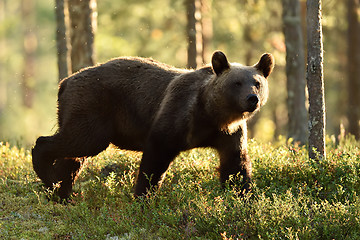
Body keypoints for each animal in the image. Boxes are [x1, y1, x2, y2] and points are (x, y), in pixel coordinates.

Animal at [31, 50, 272, 199]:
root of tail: (64, 82)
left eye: (257, 83)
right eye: (237, 82)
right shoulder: (176, 116)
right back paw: (48, 176)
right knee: (78, 141)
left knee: (73, 157)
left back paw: (61, 192)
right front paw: (143, 195)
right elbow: (155, 158)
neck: (213, 115)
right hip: (92, 107)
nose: (252, 99)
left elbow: (236, 166)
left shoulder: (230, 135)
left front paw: (243, 196)